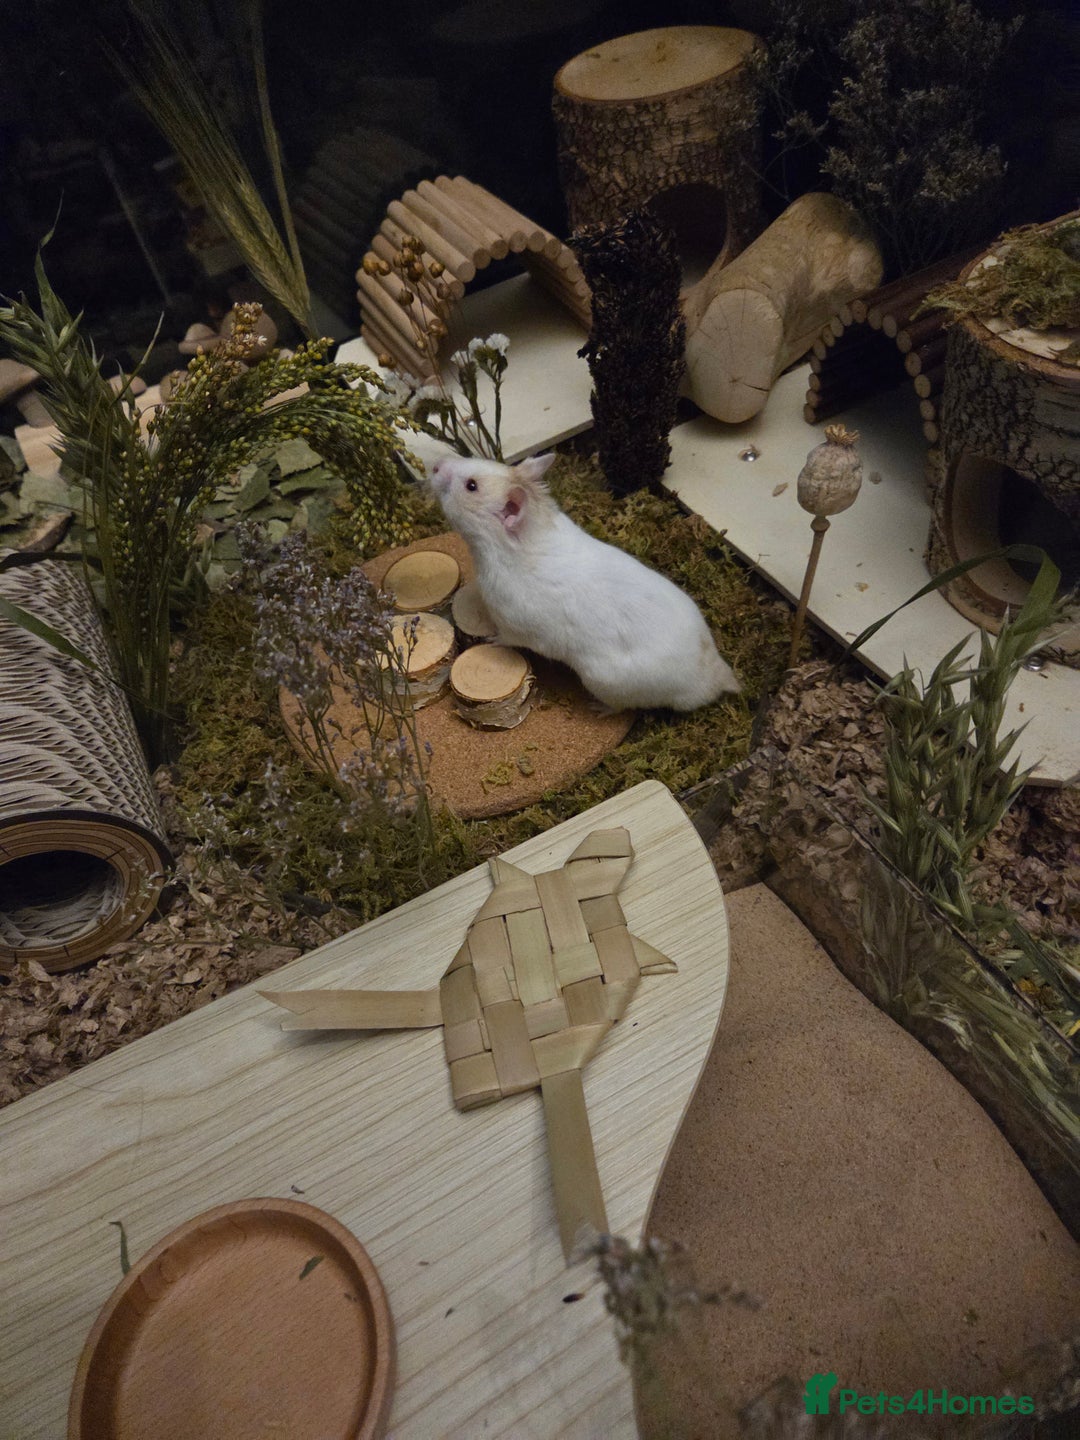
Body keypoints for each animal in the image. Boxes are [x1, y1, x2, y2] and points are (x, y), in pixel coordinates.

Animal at [428, 452, 740, 712]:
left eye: (471, 486)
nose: (435, 464)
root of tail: (719, 680)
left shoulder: (515, 627)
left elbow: (504, 638)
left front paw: (491, 640)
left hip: (604, 683)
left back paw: (596, 708)